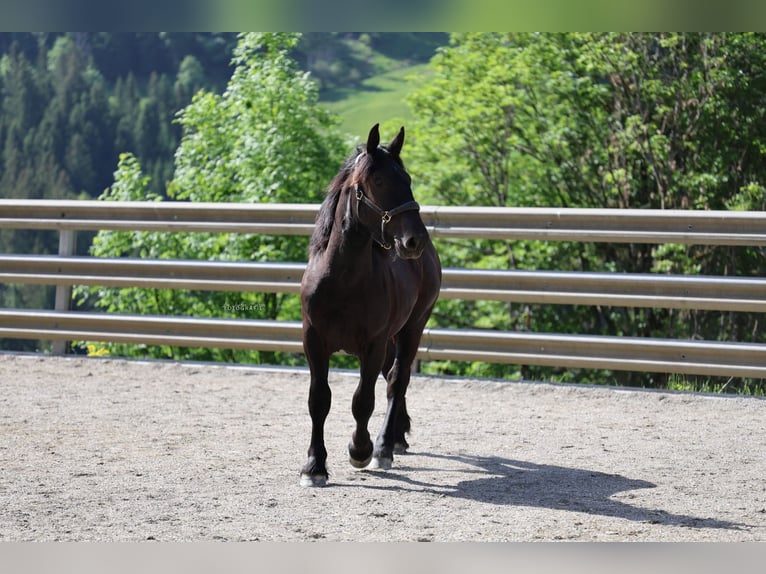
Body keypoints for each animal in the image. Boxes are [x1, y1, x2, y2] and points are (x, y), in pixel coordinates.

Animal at [299, 123, 442, 487]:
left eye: (408, 178)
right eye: (378, 180)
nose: (414, 240)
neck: (342, 281)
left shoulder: (373, 344)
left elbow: (363, 400)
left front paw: (360, 450)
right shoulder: (314, 342)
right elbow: (319, 400)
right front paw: (314, 466)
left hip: (412, 328)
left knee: (396, 380)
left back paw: (384, 446)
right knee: (392, 378)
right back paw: (398, 436)